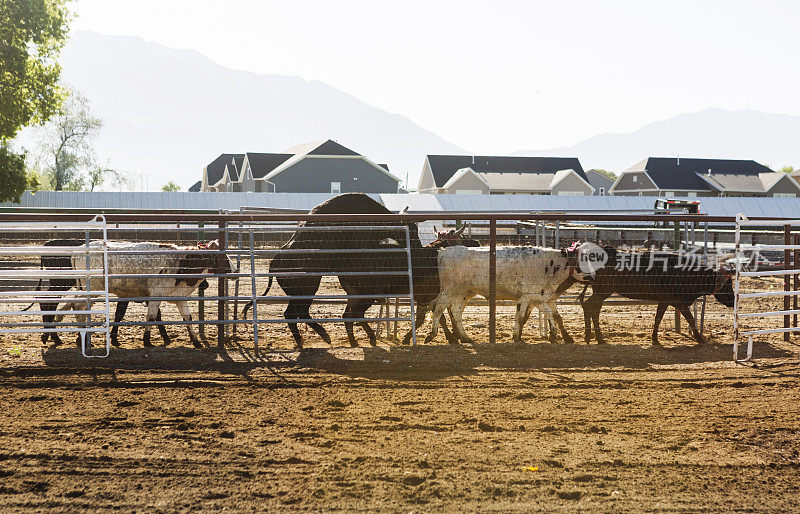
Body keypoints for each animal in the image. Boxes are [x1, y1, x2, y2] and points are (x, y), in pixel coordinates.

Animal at [54, 241, 231, 348]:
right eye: (223, 257)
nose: (234, 270)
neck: (181, 263)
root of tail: (78, 251)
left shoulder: (179, 297)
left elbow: (187, 318)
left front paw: (196, 342)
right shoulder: (155, 295)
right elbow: (151, 317)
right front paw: (147, 341)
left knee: (75, 306)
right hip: (92, 290)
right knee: (78, 307)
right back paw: (82, 338)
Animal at [424, 244, 592, 344]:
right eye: (584, 260)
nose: (593, 276)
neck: (548, 265)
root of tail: (444, 252)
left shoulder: (540, 297)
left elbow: (553, 315)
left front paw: (560, 336)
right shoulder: (527, 297)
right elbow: (522, 316)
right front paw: (518, 337)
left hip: (463, 293)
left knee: (456, 312)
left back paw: (466, 338)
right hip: (450, 290)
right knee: (438, 308)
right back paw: (432, 334)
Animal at [576, 245, 736, 344]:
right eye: (727, 286)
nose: (733, 301)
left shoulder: (664, 301)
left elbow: (658, 317)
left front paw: (654, 338)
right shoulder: (677, 301)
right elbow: (690, 318)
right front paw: (699, 338)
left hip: (601, 292)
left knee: (592, 307)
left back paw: (592, 336)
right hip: (602, 290)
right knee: (590, 306)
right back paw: (596, 337)